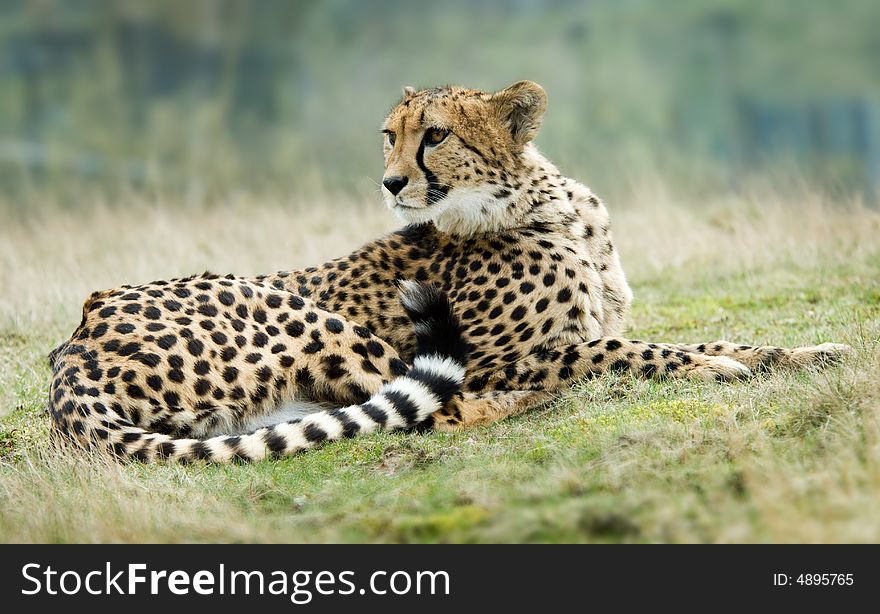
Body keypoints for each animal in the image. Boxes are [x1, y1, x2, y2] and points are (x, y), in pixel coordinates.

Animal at [44, 83, 848, 466]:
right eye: (389, 136)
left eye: (434, 134)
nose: (391, 181)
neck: (541, 206)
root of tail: (76, 341)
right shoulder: (498, 354)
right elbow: (620, 350)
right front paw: (711, 368)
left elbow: (714, 337)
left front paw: (805, 352)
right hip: (303, 314)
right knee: (443, 410)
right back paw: (531, 402)